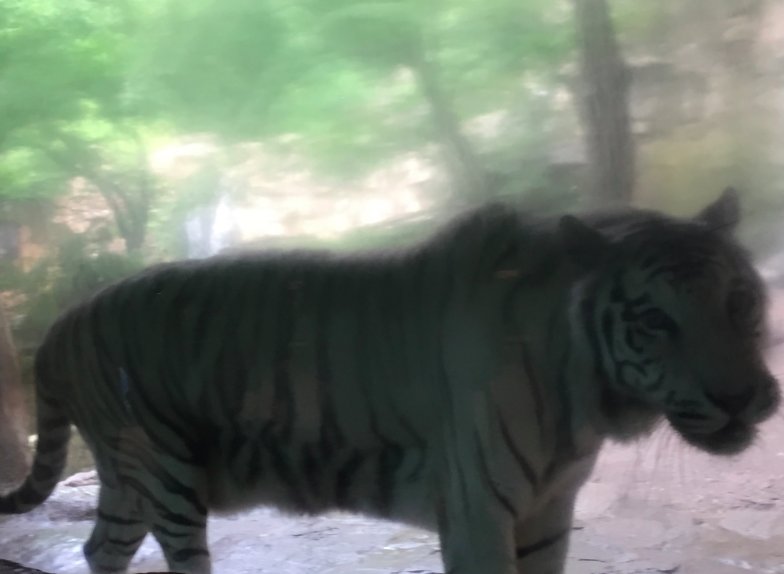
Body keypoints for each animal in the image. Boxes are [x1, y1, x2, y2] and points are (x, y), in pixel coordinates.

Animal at [0, 188, 779, 574]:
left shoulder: (548, 511)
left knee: (99, 549)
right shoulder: (478, 513)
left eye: (740, 300)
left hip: (127, 479)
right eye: (653, 321)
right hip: (167, 475)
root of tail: (62, 322)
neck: (586, 400)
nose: (740, 399)